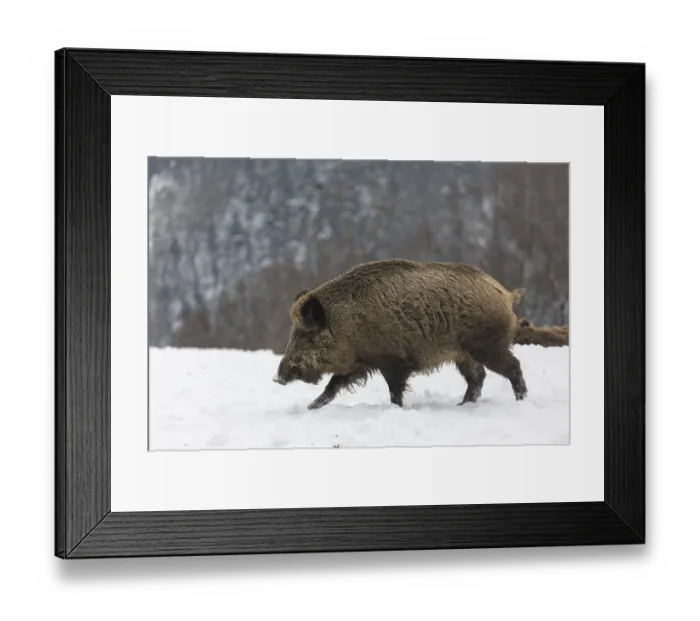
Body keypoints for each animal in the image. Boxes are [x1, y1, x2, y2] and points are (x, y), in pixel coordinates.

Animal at [273, 259, 529, 410]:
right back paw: (462, 405)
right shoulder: (358, 363)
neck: (346, 322)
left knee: (512, 367)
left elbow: (394, 391)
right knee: (478, 377)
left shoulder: (393, 361)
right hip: (464, 355)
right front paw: (311, 407)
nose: (278, 378)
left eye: (305, 335)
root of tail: (505, 294)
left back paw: (520, 400)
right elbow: (332, 385)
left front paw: (397, 408)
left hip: (487, 346)